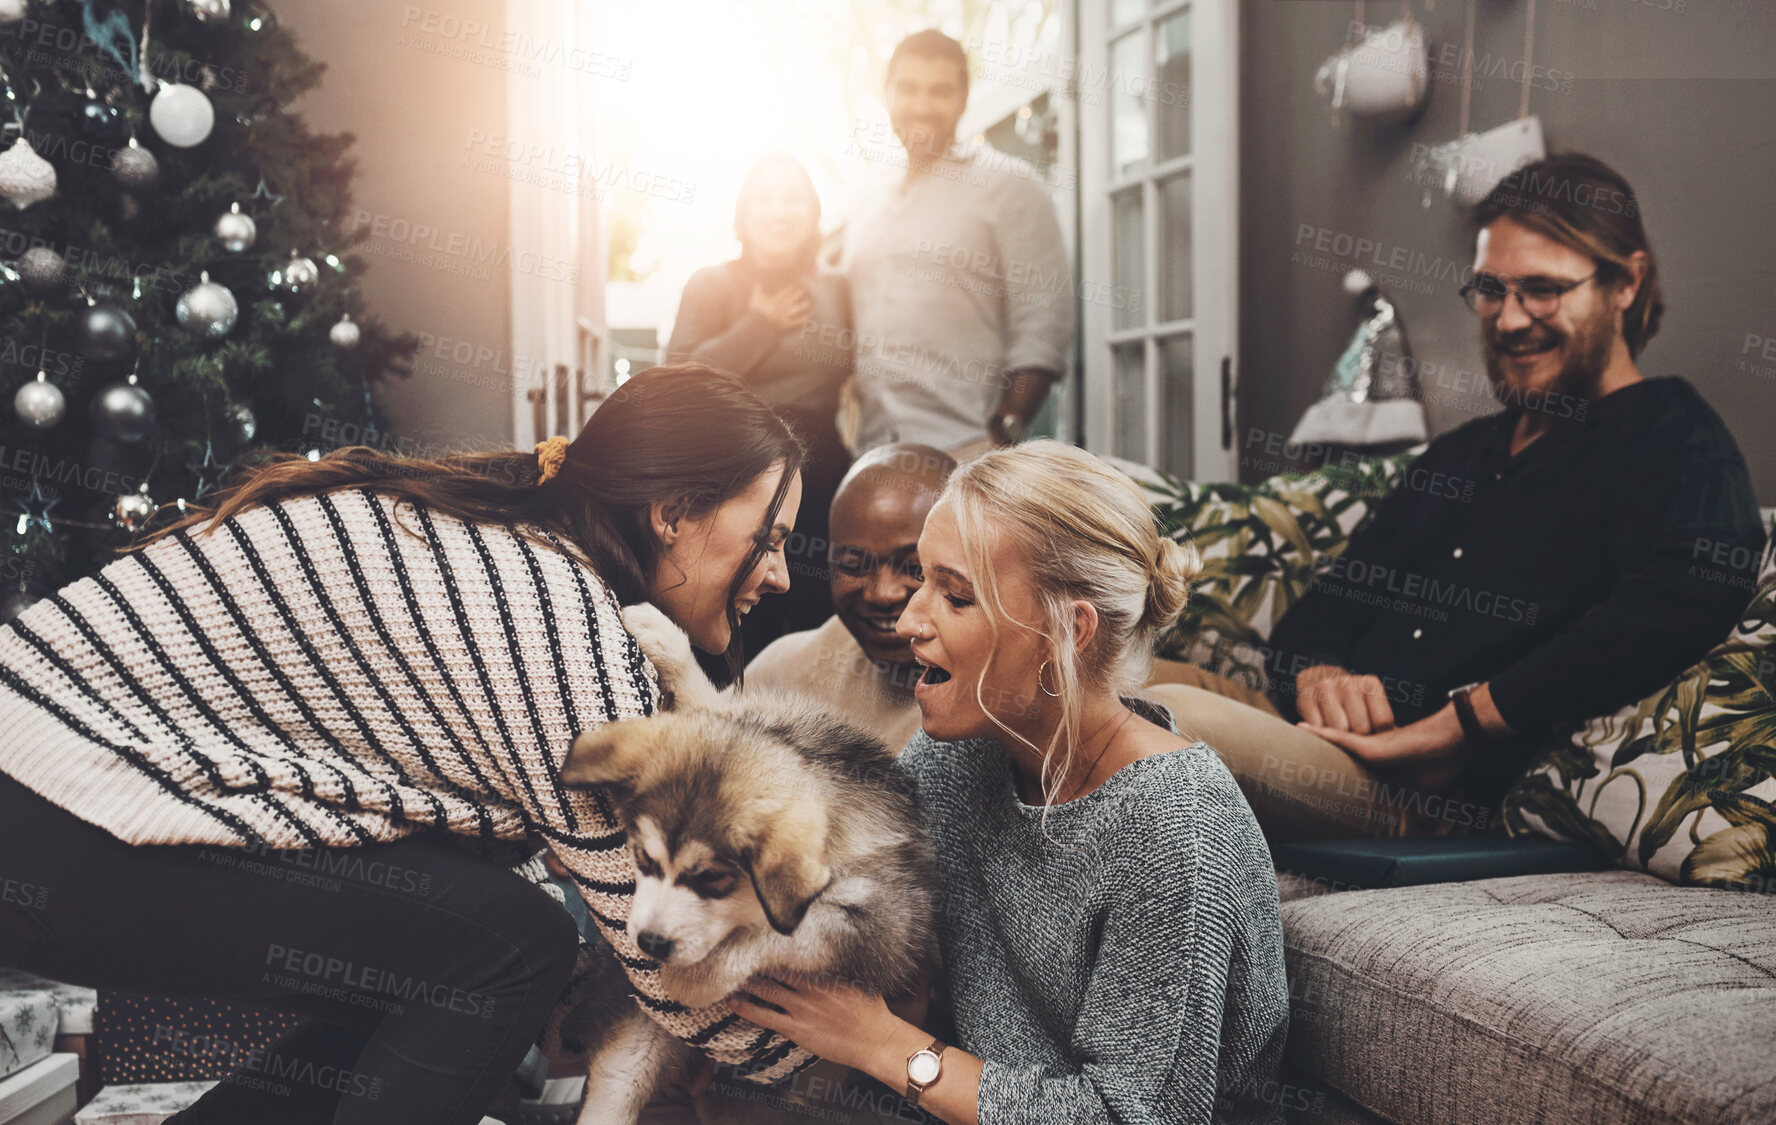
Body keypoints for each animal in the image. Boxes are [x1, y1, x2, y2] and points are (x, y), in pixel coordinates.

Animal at [557, 604, 944, 1123]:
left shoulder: (888, 930)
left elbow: (796, 932)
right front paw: (662, 636)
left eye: (713, 881)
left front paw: (695, 977)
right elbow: (711, 704)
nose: (650, 943)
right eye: (642, 859)